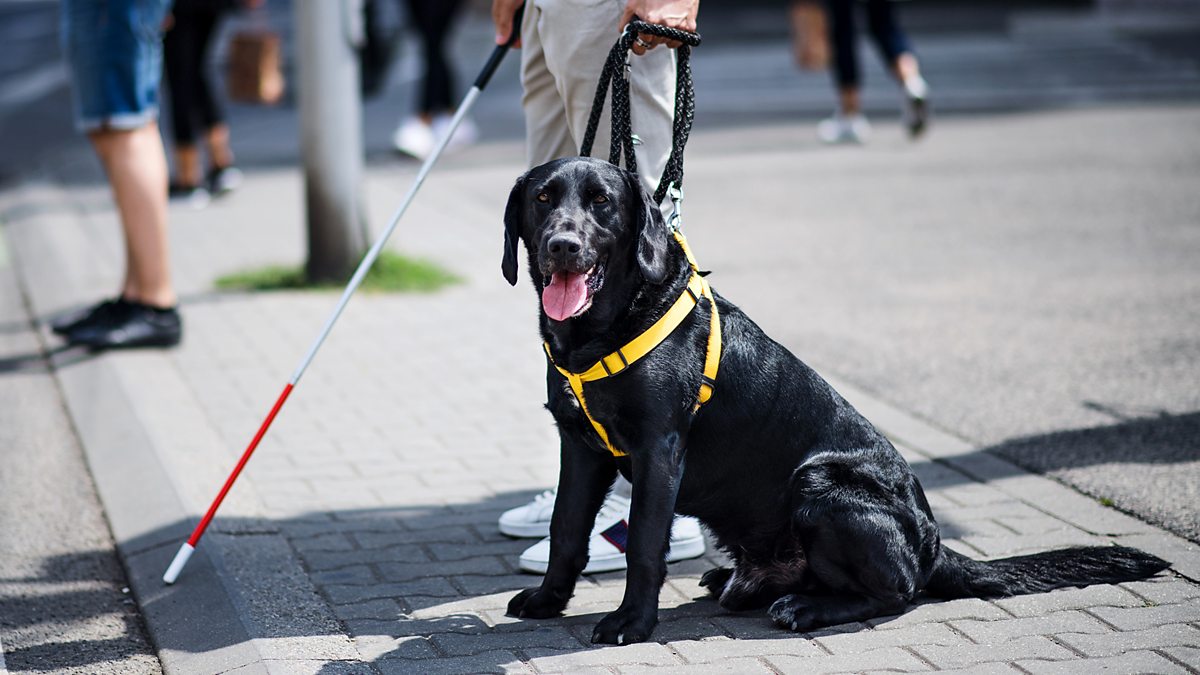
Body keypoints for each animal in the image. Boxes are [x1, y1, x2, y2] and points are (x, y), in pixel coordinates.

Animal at [499, 154, 1171, 643]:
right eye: (543, 200)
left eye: (601, 203)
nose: (562, 245)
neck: (603, 331)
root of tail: (933, 545)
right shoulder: (579, 448)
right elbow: (565, 531)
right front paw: (547, 600)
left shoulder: (658, 451)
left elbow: (643, 542)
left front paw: (631, 623)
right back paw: (738, 580)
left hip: (819, 483)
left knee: (896, 593)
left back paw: (806, 608)